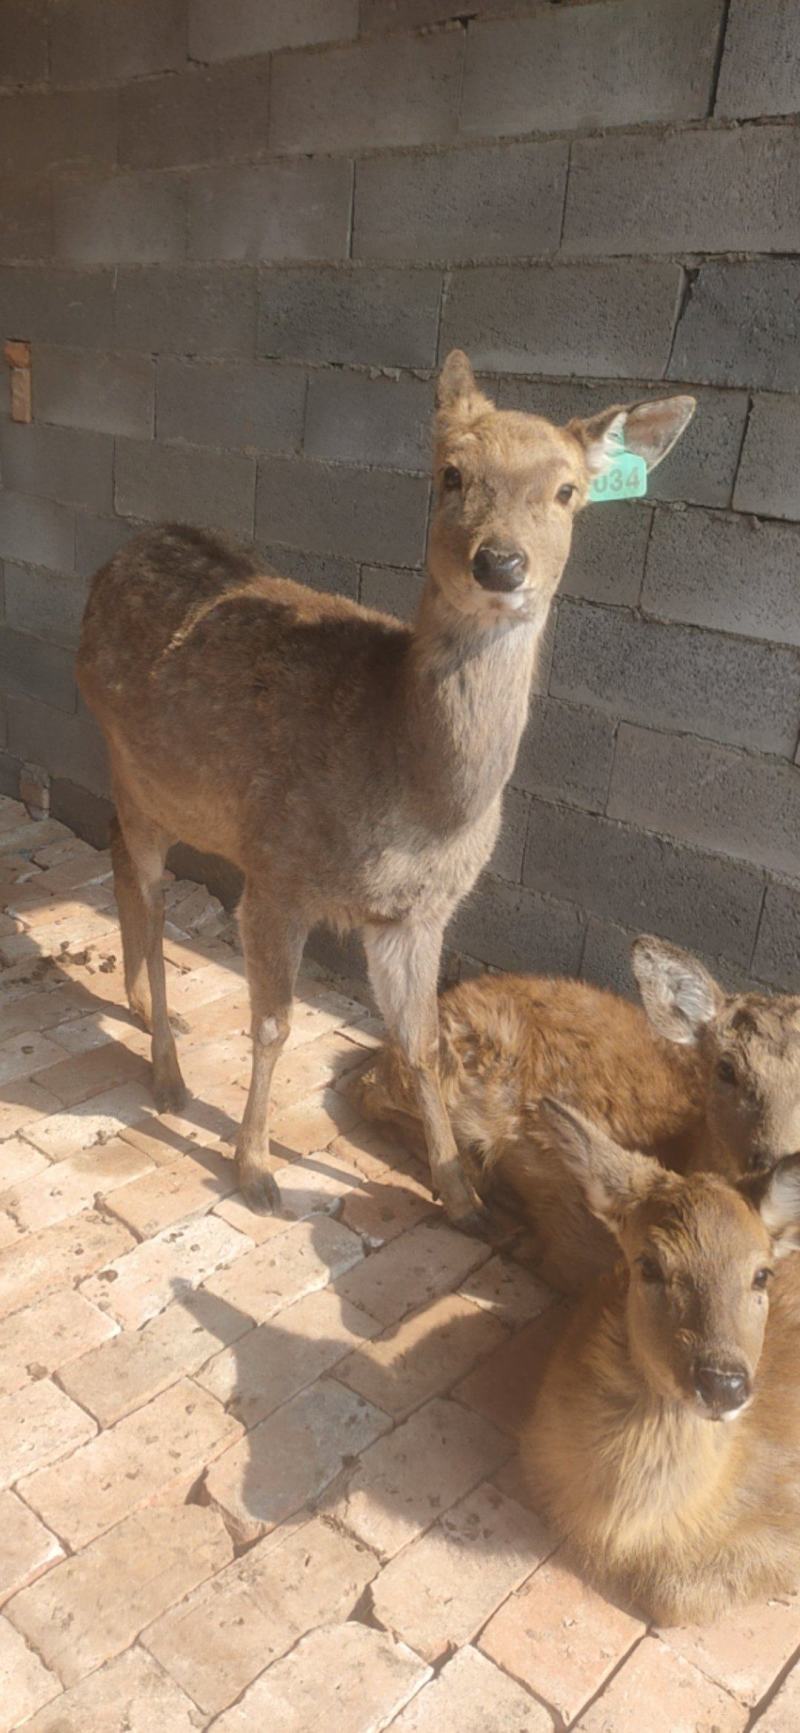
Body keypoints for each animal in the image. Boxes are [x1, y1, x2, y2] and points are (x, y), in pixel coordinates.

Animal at [76, 351, 694, 1231]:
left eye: (567, 490)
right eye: (451, 473)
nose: (500, 561)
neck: (416, 795)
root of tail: (114, 560)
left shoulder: (417, 912)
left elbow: (422, 1042)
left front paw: (462, 1195)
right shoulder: (278, 872)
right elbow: (274, 1023)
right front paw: (255, 1170)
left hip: (162, 788)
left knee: (120, 858)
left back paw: (141, 1012)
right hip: (131, 761)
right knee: (150, 889)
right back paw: (168, 1070)